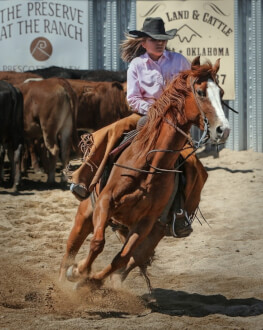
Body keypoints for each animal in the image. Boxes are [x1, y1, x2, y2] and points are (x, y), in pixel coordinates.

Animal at [59, 56, 231, 288]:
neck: (148, 167)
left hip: (153, 234)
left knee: (132, 260)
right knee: (69, 252)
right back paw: (60, 285)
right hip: (84, 215)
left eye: (221, 92)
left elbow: (121, 258)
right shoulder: (105, 202)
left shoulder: (146, 223)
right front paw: (78, 271)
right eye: (201, 92)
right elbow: (97, 243)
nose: (224, 130)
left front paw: (87, 278)